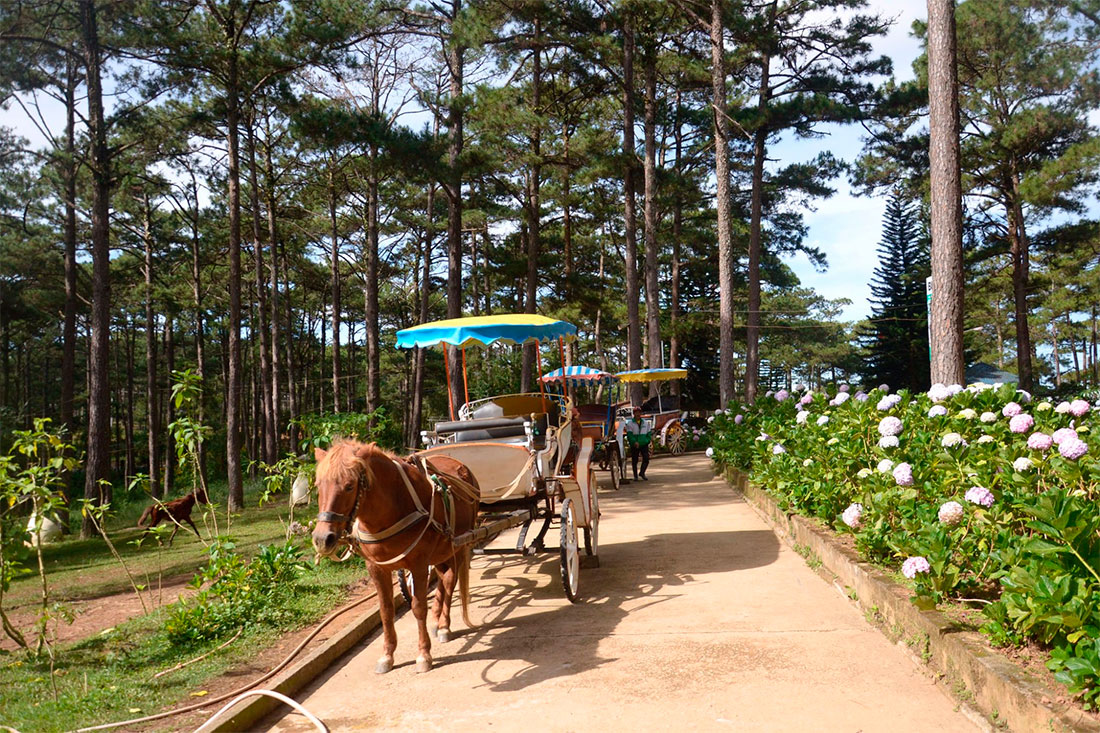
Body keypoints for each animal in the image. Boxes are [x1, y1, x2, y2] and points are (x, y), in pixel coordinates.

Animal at [312, 435, 479, 669]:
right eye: (318, 485)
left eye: (349, 486)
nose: (322, 538)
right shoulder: (376, 568)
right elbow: (386, 610)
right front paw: (387, 654)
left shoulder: (419, 565)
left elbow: (418, 607)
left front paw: (423, 654)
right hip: (442, 552)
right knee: (444, 579)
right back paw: (437, 621)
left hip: (457, 547)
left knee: (449, 580)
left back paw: (444, 625)